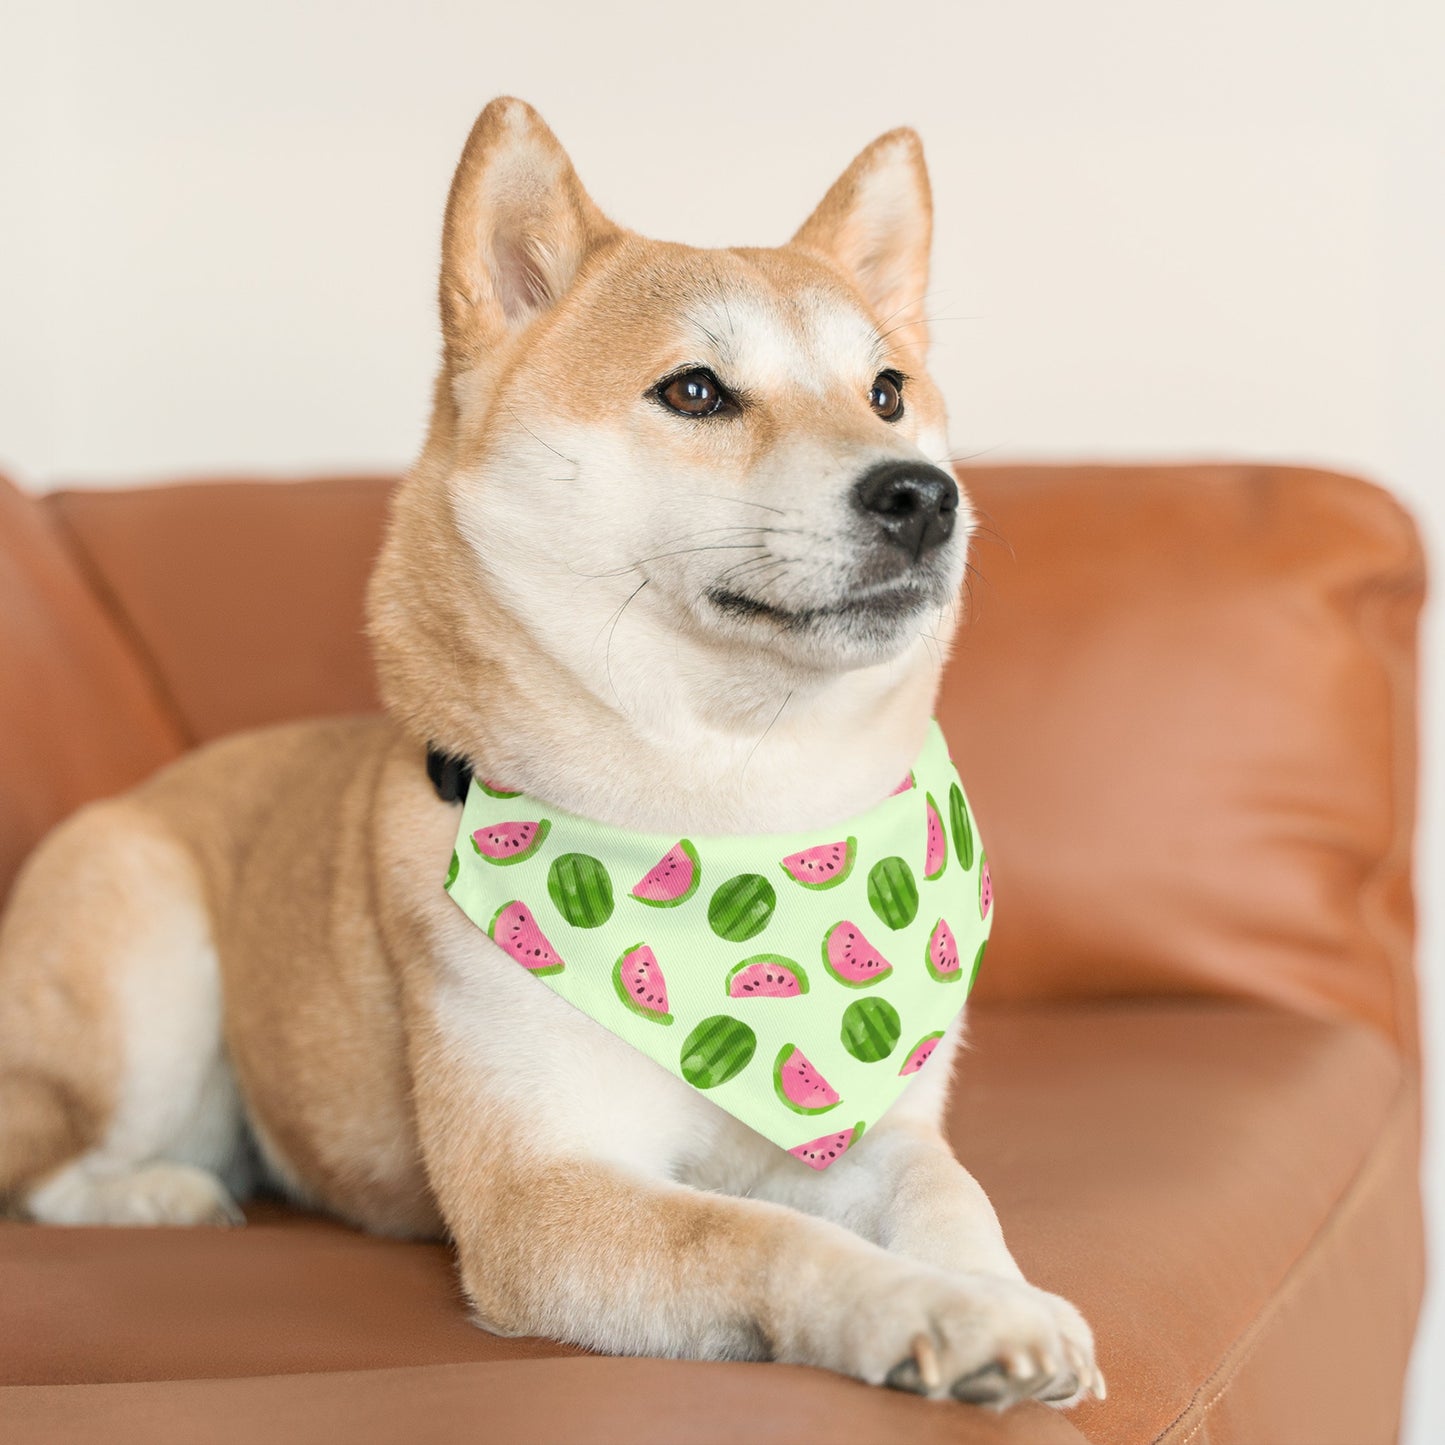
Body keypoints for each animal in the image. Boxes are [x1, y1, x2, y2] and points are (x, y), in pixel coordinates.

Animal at [0, 96, 1098, 1404]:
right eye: (694, 390)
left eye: (886, 390)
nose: (923, 494)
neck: (735, 820)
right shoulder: (540, 1194)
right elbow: (764, 1235)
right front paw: (927, 1308)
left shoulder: (871, 1120)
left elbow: (947, 1190)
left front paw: (1001, 1292)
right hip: (146, 967)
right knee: (47, 1166)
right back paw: (163, 1192)